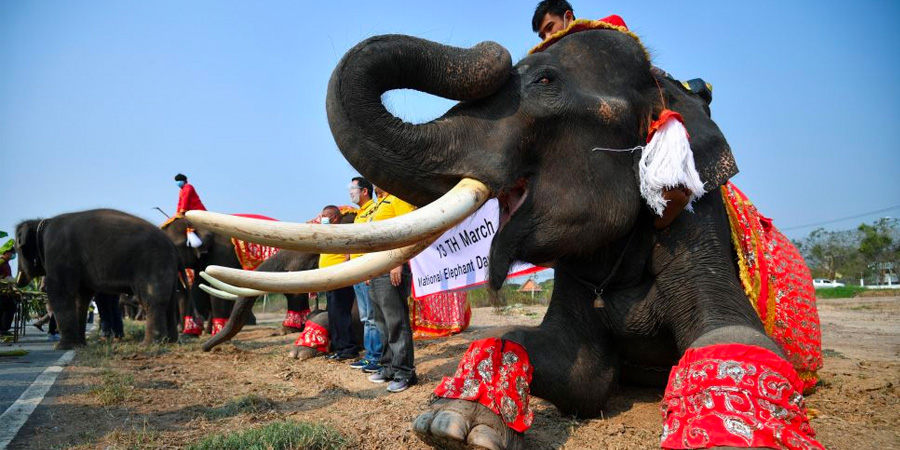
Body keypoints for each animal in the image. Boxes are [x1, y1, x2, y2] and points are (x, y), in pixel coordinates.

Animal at [15, 209, 183, 348]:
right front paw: (79, 345)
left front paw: (62, 347)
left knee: (152, 300)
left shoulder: (58, 254)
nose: (17, 284)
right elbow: (81, 297)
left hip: (152, 262)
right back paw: (170, 341)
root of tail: (172, 245)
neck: (41, 223)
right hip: (167, 267)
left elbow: (60, 292)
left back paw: (148, 345)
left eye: (16, 250)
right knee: (170, 301)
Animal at [320, 23, 823, 450]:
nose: (493, 48)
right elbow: (582, 375)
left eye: (544, 81)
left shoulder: (698, 221)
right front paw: (451, 427)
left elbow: (732, 338)